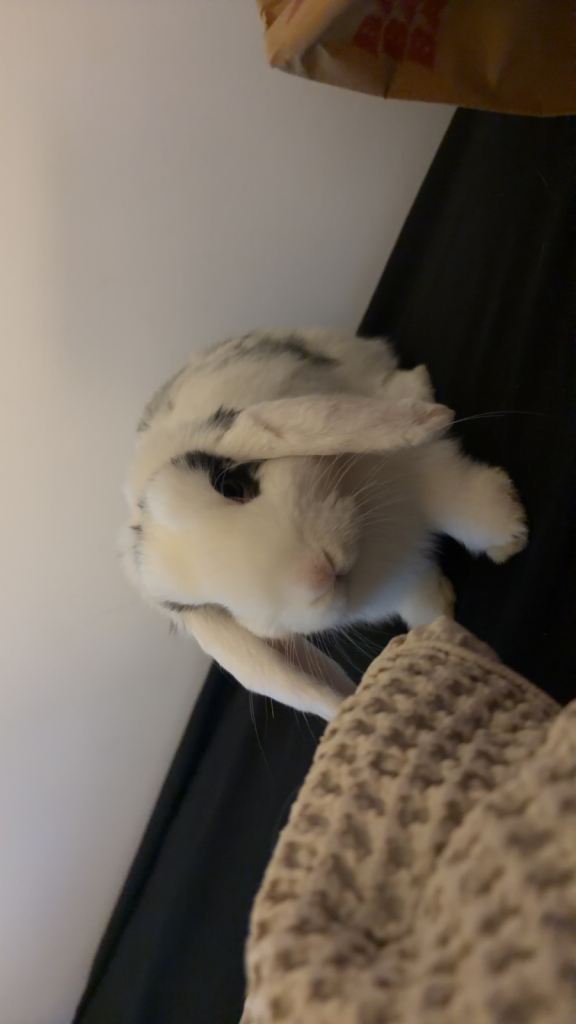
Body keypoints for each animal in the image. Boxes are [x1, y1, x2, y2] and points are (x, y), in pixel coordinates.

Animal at [121, 329, 527, 721]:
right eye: (214, 605)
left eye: (232, 486)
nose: (316, 574)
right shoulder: (396, 577)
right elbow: (415, 591)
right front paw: (436, 618)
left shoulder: (416, 468)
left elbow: (457, 500)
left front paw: (510, 534)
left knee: (386, 380)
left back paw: (417, 385)